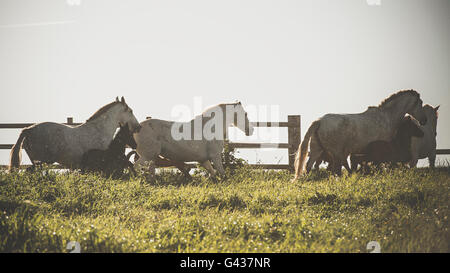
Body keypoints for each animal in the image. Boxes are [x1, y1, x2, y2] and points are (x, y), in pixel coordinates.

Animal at [10, 95, 141, 168]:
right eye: (130, 111)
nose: (139, 127)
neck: (100, 130)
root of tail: (28, 129)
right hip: (42, 161)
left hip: (37, 161)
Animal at [294, 90, 428, 178]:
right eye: (420, 103)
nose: (424, 120)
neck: (387, 116)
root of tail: (320, 121)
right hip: (335, 153)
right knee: (336, 169)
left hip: (317, 150)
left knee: (308, 167)